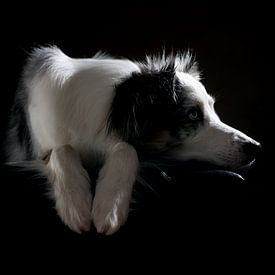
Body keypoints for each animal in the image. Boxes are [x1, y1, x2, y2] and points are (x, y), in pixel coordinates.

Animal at [5, 46, 260, 236]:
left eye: (213, 110)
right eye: (193, 114)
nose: (255, 148)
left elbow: (126, 148)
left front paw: (110, 206)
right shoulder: (36, 148)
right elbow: (62, 148)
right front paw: (75, 204)